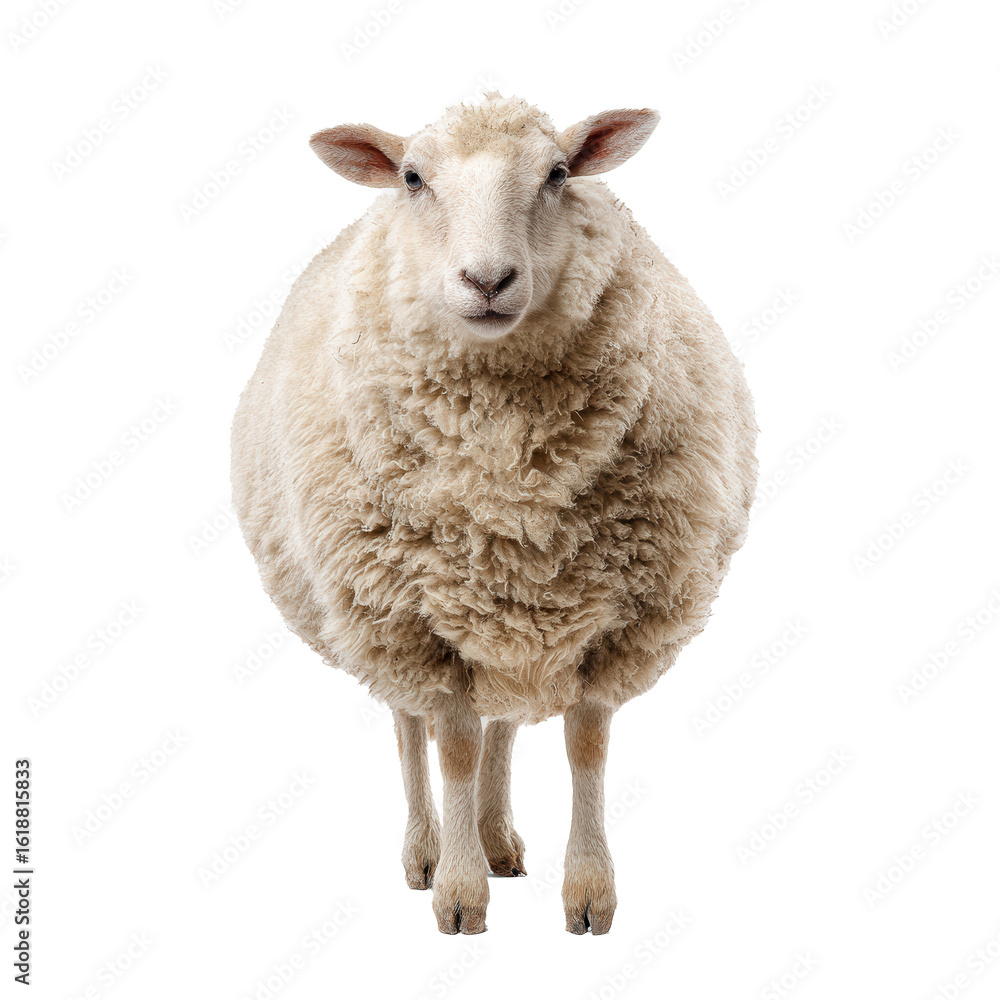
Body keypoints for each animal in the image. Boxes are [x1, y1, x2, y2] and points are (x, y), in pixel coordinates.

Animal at [230, 93, 758, 936]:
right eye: (412, 177)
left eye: (559, 173)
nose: (487, 279)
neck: (510, 482)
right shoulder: (419, 621)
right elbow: (449, 744)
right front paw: (458, 895)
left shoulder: (612, 621)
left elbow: (583, 746)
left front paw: (588, 894)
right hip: (378, 609)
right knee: (412, 728)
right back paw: (427, 852)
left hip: (516, 611)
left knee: (502, 723)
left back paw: (495, 838)